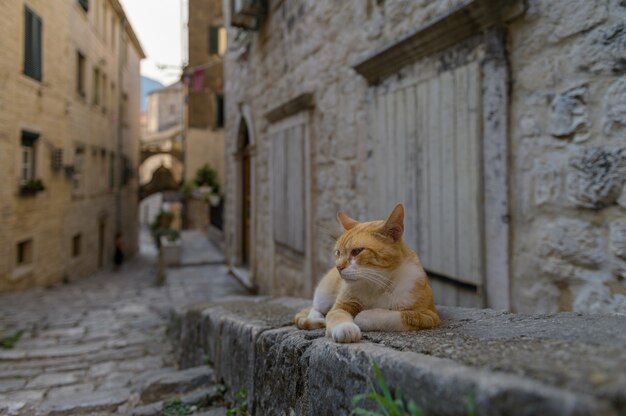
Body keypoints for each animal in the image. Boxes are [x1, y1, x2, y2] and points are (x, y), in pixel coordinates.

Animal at [294, 203, 436, 342]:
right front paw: (346, 328)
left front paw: (363, 316)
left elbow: (398, 315)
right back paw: (316, 318)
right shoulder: (340, 305)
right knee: (314, 307)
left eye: (356, 251)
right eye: (338, 253)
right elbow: (336, 314)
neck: (378, 283)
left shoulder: (428, 316)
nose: (338, 267)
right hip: (323, 296)